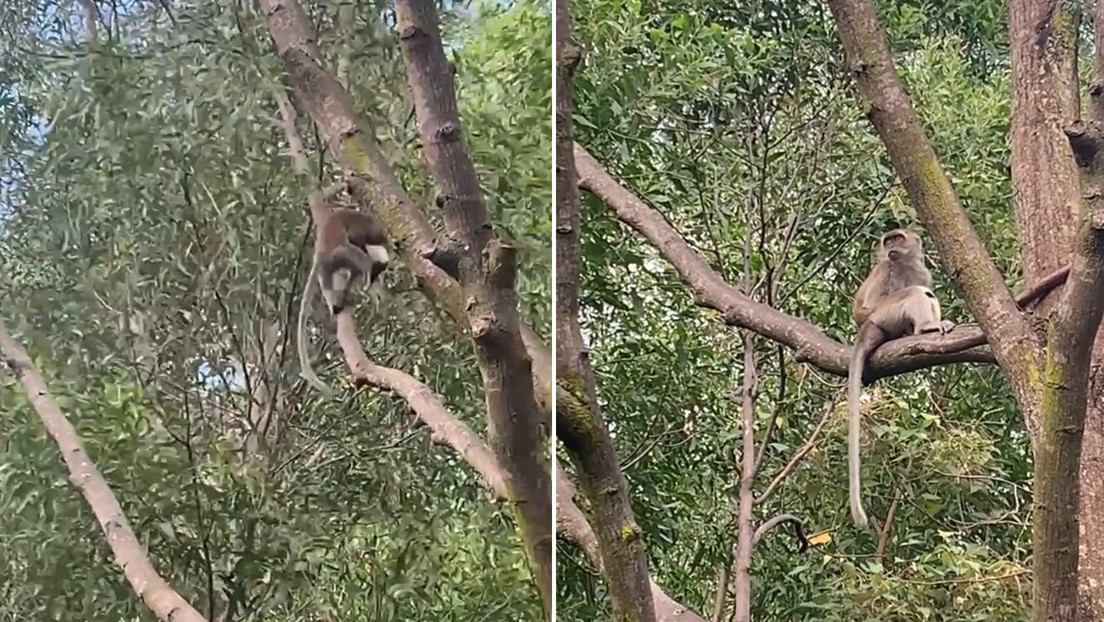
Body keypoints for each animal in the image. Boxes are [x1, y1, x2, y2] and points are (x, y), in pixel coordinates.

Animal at [847, 229, 953, 528]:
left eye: (897, 238)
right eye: (888, 241)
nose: (890, 247)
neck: (904, 265)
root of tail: (867, 328)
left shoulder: (921, 270)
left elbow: (925, 283)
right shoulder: (888, 271)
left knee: (926, 293)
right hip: (883, 316)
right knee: (916, 293)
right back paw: (925, 327)